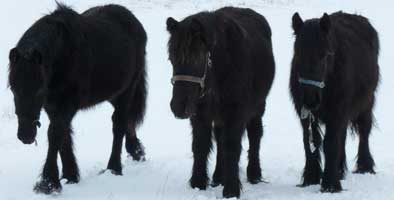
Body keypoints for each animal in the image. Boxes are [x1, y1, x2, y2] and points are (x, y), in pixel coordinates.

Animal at [8, 3, 147, 194]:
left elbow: (55, 134)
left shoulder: (67, 105)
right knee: (128, 120)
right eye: (13, 89)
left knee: (119, 123)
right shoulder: (53, 106)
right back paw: (136, 151)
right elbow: (64, 135)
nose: (26, 136)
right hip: (113, 94)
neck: (62, 57)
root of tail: (134, 21)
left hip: (127, 90)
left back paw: (114, 168)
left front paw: (49, 183)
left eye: (38, 90)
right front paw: (70, 176)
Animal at [166, 6, 274, 198]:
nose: (178, 106)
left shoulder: (236, 112)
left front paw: (231, 189)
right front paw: (198, 183)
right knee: (219, 138)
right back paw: (218, 177)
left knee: (255, 134)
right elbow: (200, 146)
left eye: (197, 58)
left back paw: (254, 173)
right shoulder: (200, 114)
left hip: (258, 106)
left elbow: (232, 146)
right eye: (172, 58)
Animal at [290, 11, 378, 193]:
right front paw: (311, 177)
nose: (310, 99)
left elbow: (330, 143)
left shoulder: (337, 112)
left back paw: (364, 166)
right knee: (342, 136)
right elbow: (310, 142)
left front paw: (330, 184)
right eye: (298, 54)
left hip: (367, 103)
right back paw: (340, 170)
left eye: (325, 55)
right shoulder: (306, 114)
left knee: (364, 131)